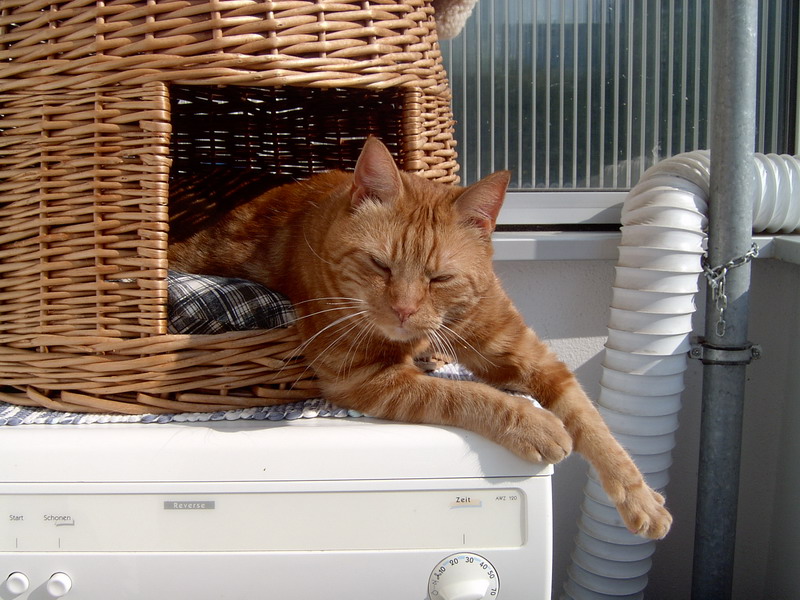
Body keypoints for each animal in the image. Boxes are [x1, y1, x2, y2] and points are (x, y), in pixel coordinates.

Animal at [168, 136, 672, 539]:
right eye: (380, 265)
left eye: (439, 278)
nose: (404, 309)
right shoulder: (367, 380)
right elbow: (467, 396)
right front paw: (535, 424)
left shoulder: (531, 356)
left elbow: (592, 421)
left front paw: (640, 498)